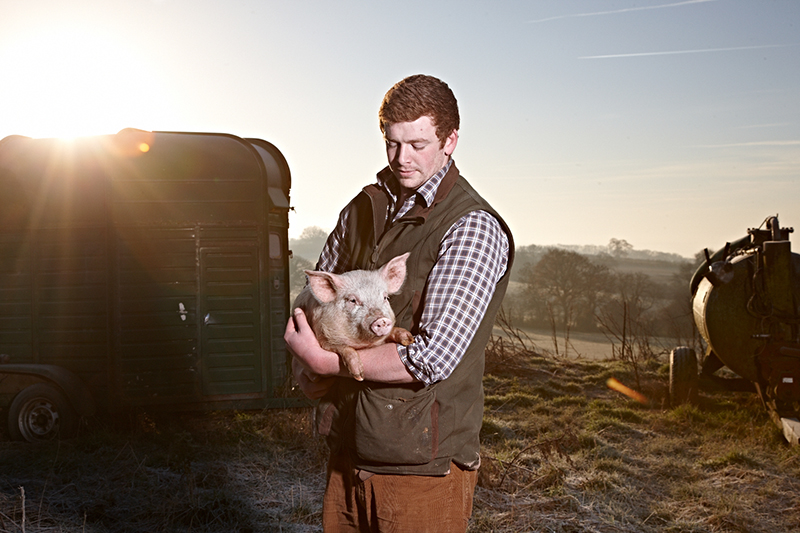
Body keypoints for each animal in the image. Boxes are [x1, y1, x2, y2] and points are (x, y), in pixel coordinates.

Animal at [292, 253, 414, 381]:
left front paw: (409, 338)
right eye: (353, 300)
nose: (381, 319)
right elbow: (345, 348)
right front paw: (359, 376)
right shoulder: (323, 339)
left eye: (385, 297)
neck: (363, 343)